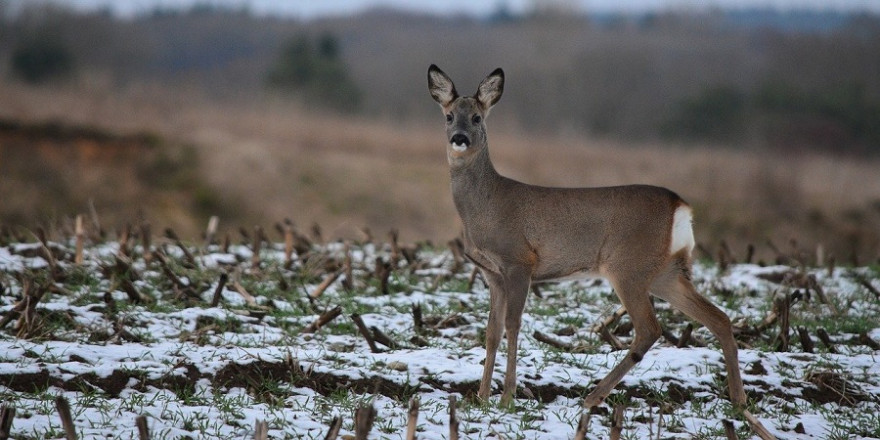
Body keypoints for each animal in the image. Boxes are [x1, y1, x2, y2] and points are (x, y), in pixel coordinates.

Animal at [430, 65, 772, 440]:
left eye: (477, 117)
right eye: (449, 116)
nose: (459, 138)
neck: (485, 207)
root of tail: (681, 207)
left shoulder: (520, 262)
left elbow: (512, 325)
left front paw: (506, 398)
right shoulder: (492, 273)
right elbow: (491, 332)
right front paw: (480, 397)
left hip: (628, 267)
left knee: (650, 328)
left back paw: (593, 397)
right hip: (666, 273)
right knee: (719, 318)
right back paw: (739, 402)